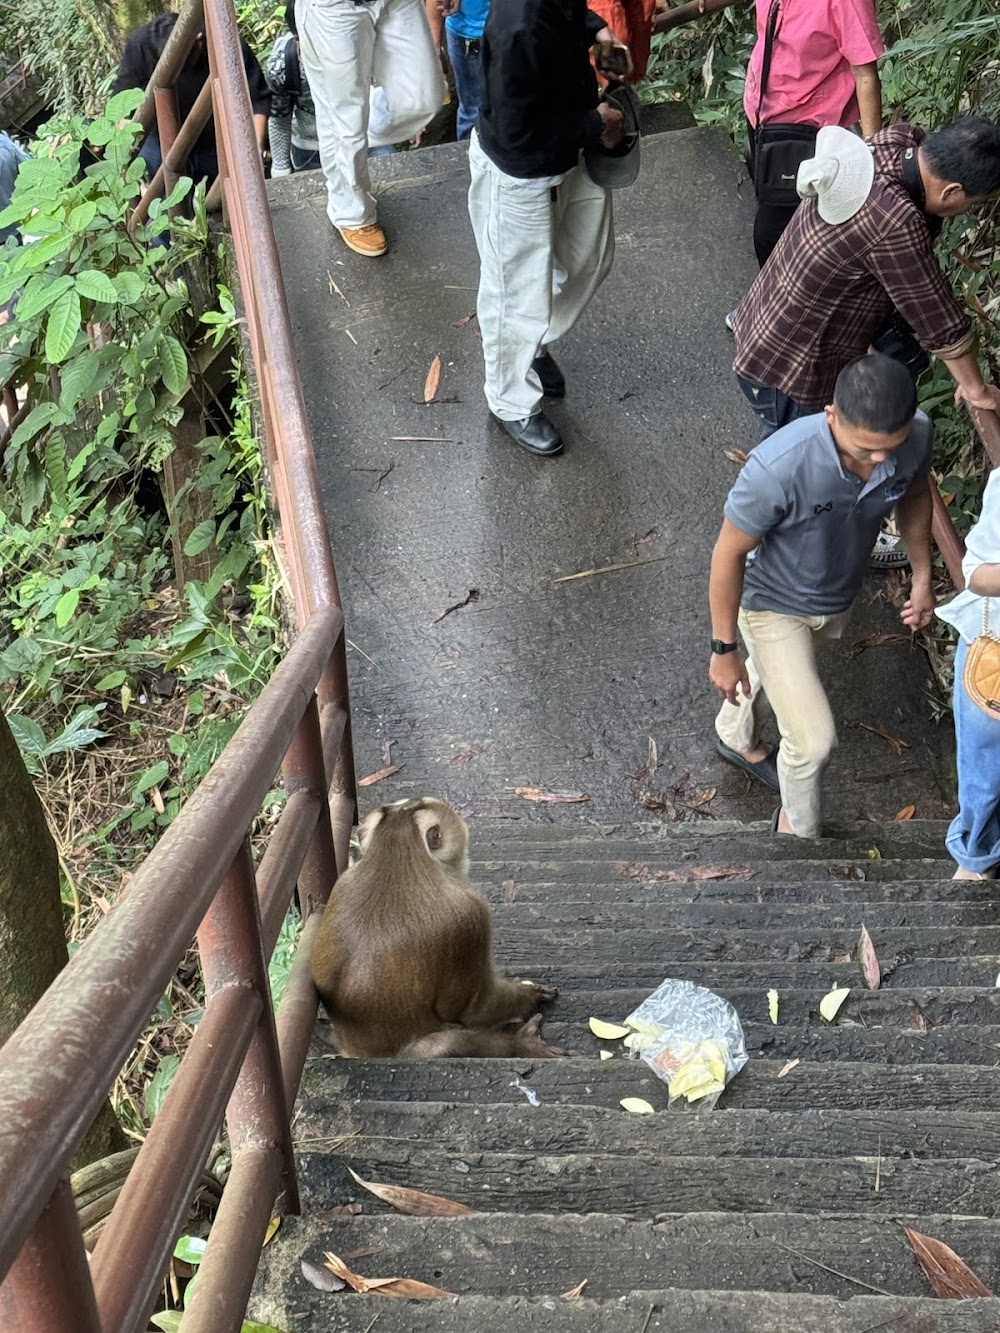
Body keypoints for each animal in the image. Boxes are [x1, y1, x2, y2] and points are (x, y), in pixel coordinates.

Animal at [309, 794, 568, 1055]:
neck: (395, 861)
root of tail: (350, 1047)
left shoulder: (343, 881)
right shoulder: (471, 918)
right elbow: (470, 1010)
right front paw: (529, 995)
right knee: (446, 1045)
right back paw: (521, 1045)